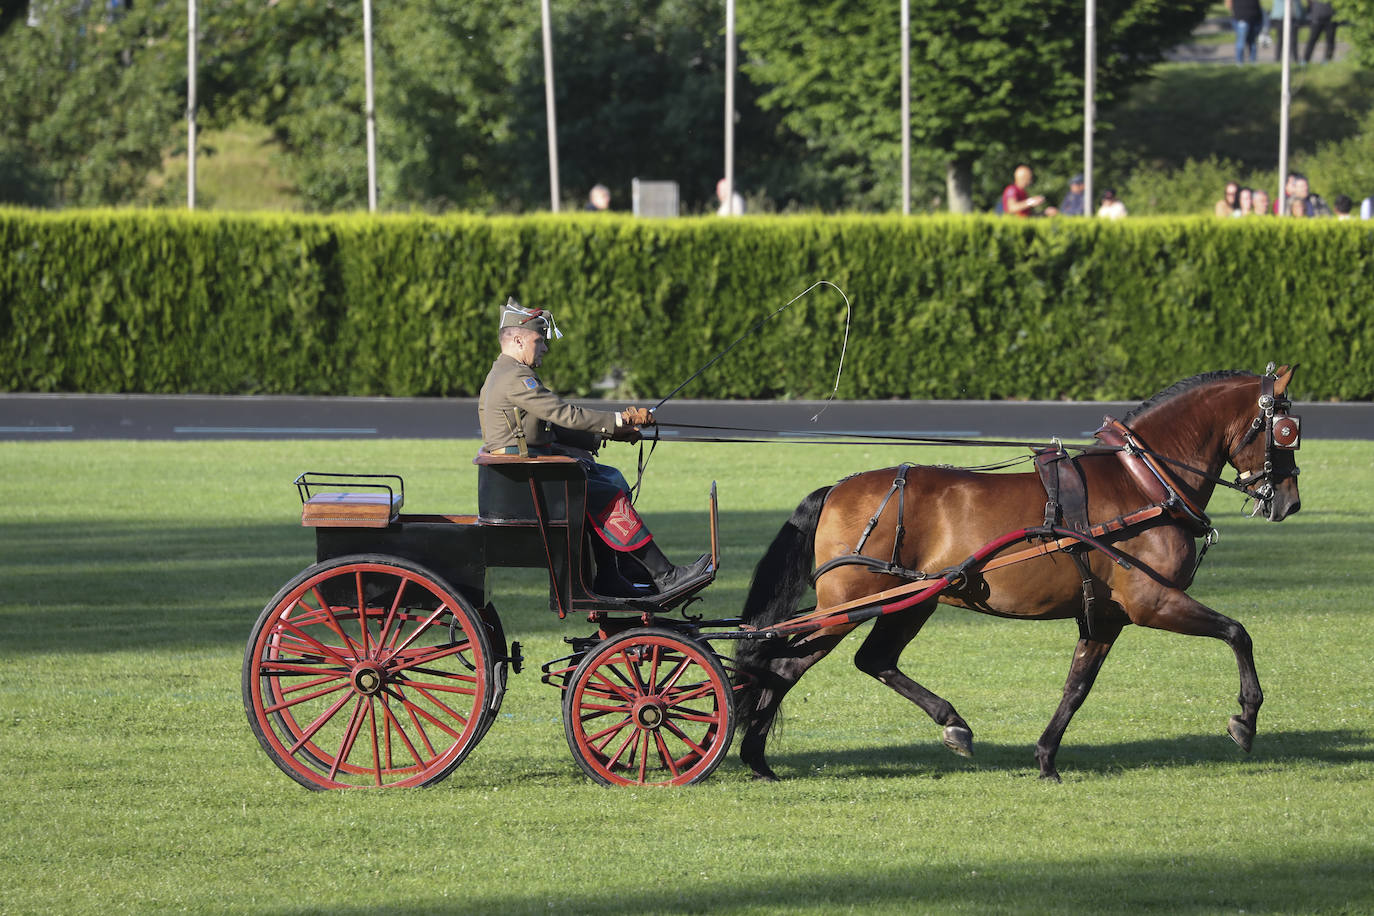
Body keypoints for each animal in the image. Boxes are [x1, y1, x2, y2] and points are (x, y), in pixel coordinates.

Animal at [730, 365, 1297, 780]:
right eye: (1286, 432)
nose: (1288, 502)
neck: (1142, 484)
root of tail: (836, 489)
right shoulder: (1151, 602)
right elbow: (1237, 632)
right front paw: (1246, 719)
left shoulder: (1105, 616)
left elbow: (1077, 685)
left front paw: (1046, 757)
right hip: (849, 605)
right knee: (785, 663)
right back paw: (757, 754)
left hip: (911, 599)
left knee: (864, 660)